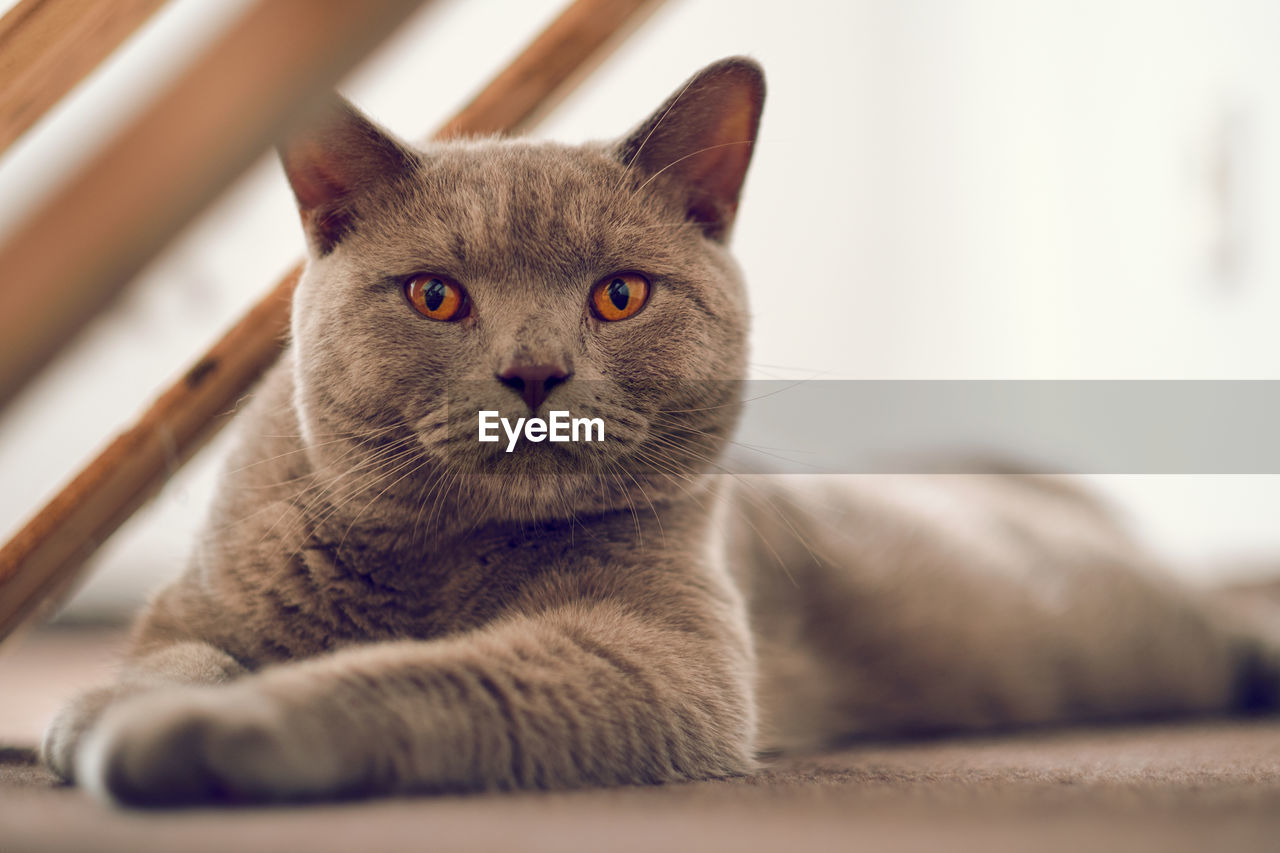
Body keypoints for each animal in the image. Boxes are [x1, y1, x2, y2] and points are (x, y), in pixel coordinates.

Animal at [40, 58, 1280, 804]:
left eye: (619, 295)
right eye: (435, 296)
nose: (532, 372)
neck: (438, 559)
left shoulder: (667, 659)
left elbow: (413, 675)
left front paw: (192, 731)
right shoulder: (196, 598)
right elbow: (175, 649)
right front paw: (98, 708)